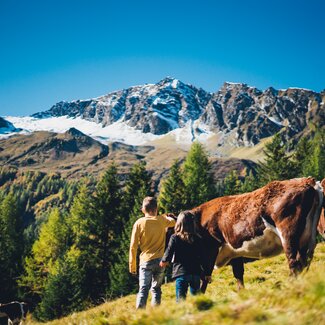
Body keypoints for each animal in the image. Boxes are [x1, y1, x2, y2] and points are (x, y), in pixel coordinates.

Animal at [189, 177, 322, 288]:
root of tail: (307, 180)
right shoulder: (235, 252)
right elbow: (238, 275)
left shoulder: (209, 253)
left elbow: (204, 280)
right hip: (308, 237)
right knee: (305, 261)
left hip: (288, 235)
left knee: (294, 262)